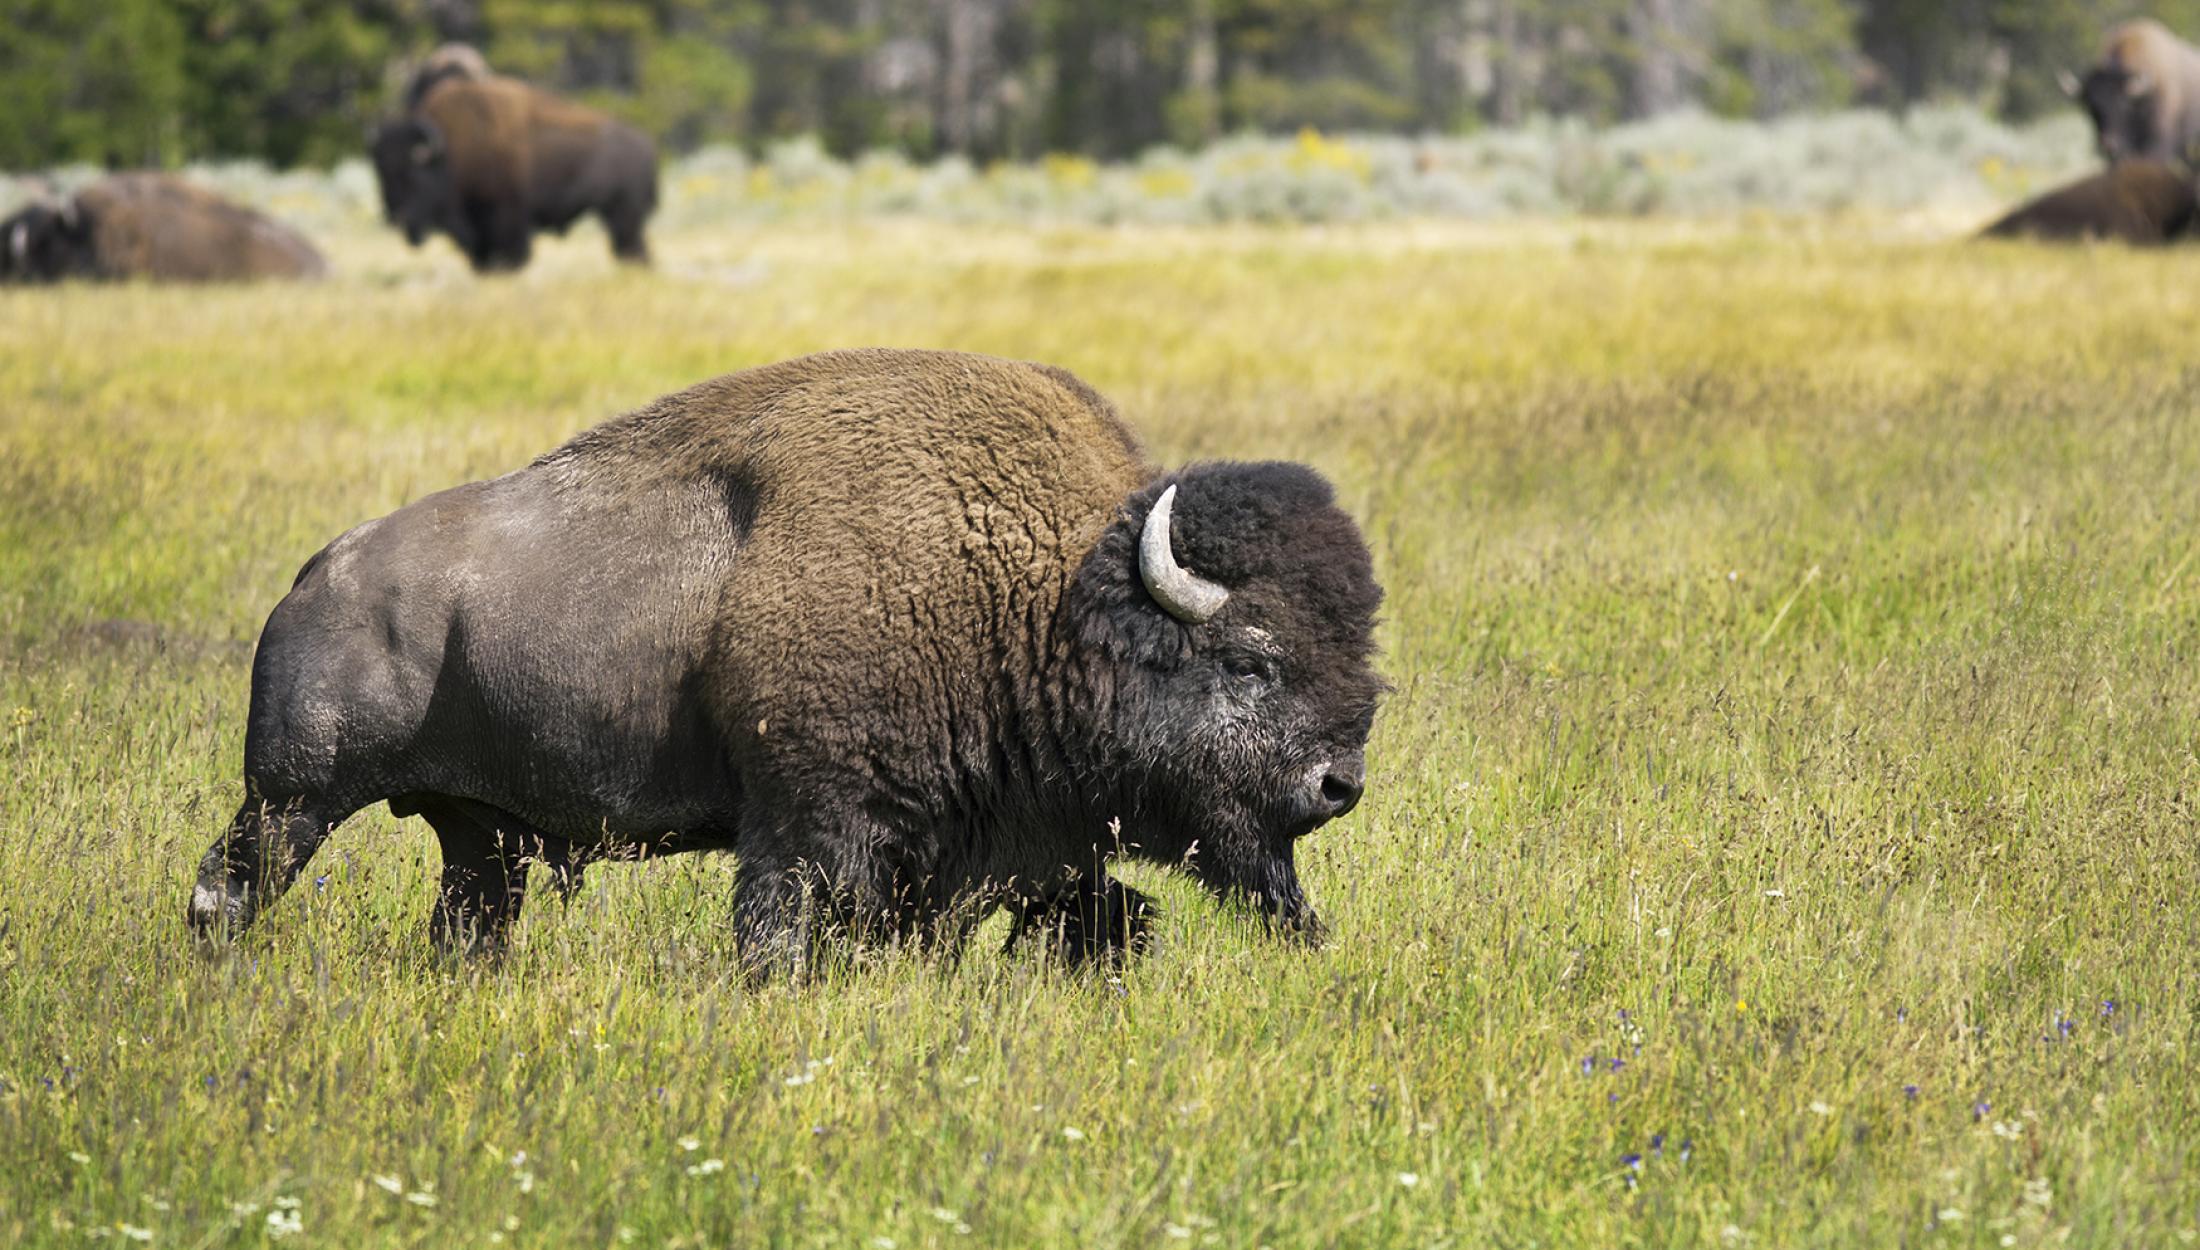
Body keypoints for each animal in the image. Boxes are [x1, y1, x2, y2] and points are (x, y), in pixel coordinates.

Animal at [193, 347, 1390, 972]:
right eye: (1250, 659)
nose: (1340, 784)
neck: (1041, 598)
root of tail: (318, 572)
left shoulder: (1012, 845)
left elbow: (1100, 919)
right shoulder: (809, 823)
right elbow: (778, 934)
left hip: (478, 837)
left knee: (467, 916)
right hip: (293, 796)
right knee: (231, 882)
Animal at [369, 74, 655, 271]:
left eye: (412, 174)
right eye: (381, 173)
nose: (398, 219)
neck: (451, 152)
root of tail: (645, 145)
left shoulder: (506, 218)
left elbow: (512, 254)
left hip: (623, 216)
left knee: (631, 249)